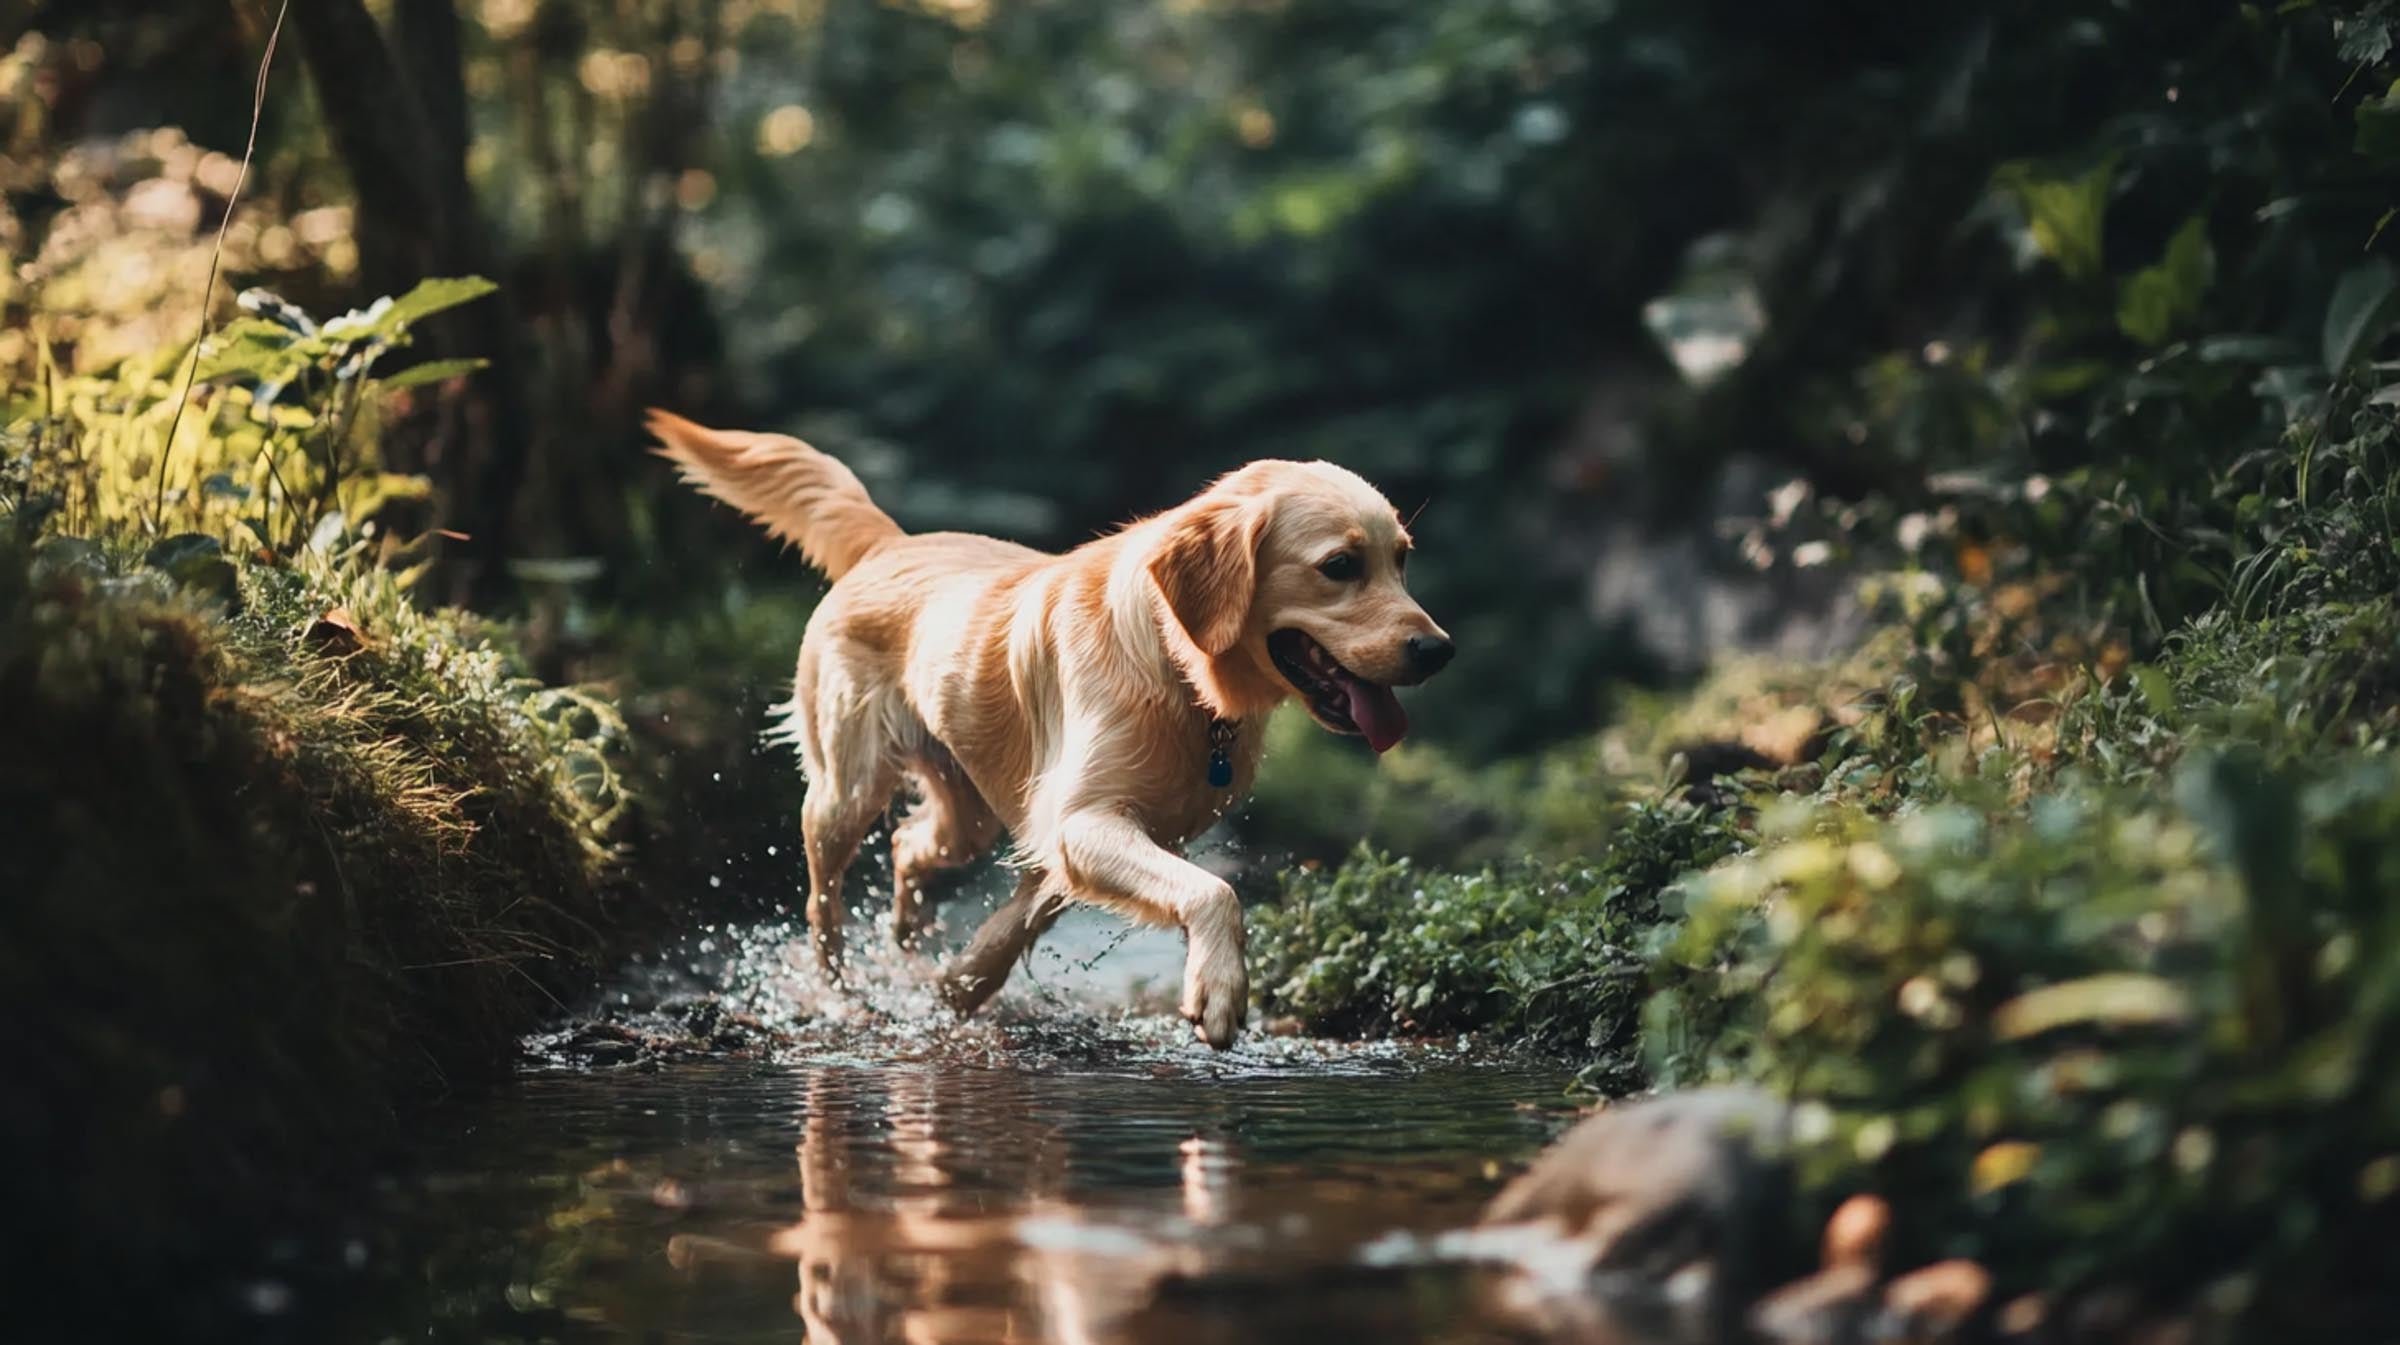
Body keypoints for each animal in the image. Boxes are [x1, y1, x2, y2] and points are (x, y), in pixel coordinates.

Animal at [648, 413, 1449, 1051]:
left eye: (1403, 559)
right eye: (1339, 566)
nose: (1438, 650)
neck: (1176, 667)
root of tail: (889, 543)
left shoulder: (1087, 831)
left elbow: (1023, 918)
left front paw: (960, 983)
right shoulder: (1082, 818)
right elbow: (1216, 891)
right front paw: (1218, 990)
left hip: (964, 814)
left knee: (910, 845)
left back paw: (908, 940)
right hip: (847, 788)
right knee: (824, 898)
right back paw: (840, 989)